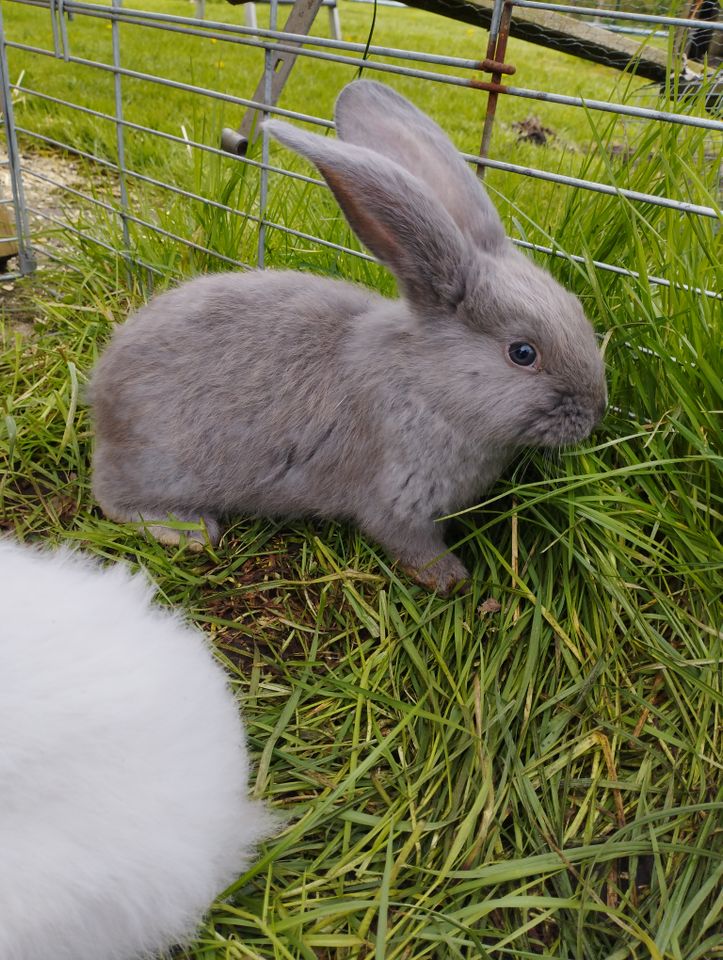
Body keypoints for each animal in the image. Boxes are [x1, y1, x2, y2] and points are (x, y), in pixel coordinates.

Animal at [92, 80, 612, 592]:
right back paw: (190, 531)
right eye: (522, 353)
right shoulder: (399, 502)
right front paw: (452, 579)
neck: (427, 383)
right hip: (160, 468)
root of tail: (101, 391)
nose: (595, 413)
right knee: (112, 500)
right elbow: (410, 544)